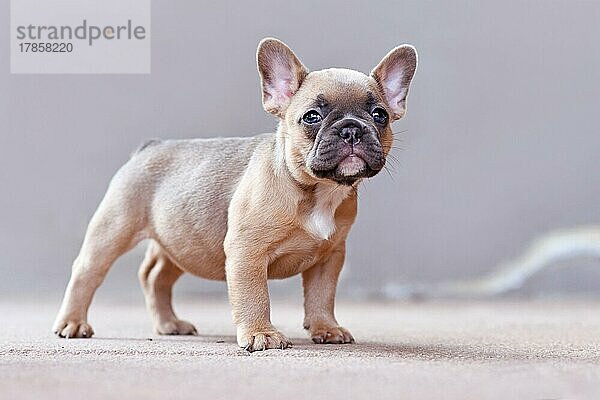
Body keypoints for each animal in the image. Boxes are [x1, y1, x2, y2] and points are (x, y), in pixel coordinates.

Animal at [52, 36, 418, 350]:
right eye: (312, 117)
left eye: (380, 115)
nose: (352, 129)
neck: (315, 190)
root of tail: (149, 147)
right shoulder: (247, 252)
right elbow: (255, 296)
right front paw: (261, 334)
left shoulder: (329, 257)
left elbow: (321, 296)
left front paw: (326, 328)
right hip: (114, 229)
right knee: (87, 271)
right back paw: (72, 323)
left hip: (182, 240)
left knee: (156, 277)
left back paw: (169, 324)